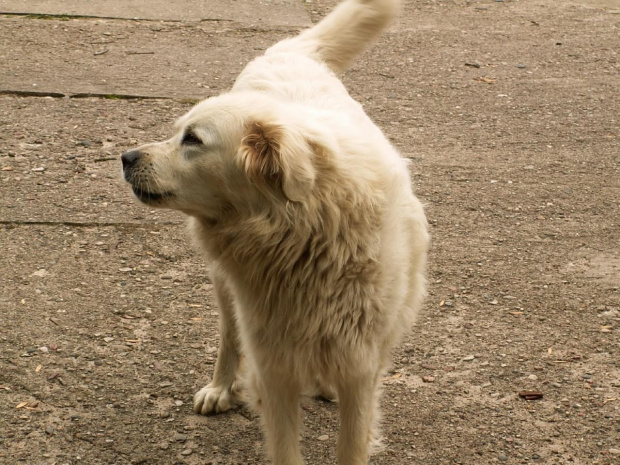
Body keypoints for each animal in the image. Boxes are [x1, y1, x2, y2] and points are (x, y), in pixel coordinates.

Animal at [123, 0, 428, 460]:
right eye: (178, 133)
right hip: (227, 291)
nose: (125, 157)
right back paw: (220, 387)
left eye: (192, 139)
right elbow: (285, 445)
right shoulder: (274, 365)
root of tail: (288, 51)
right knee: (229, 336)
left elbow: (351, 444)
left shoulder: (360, 368)